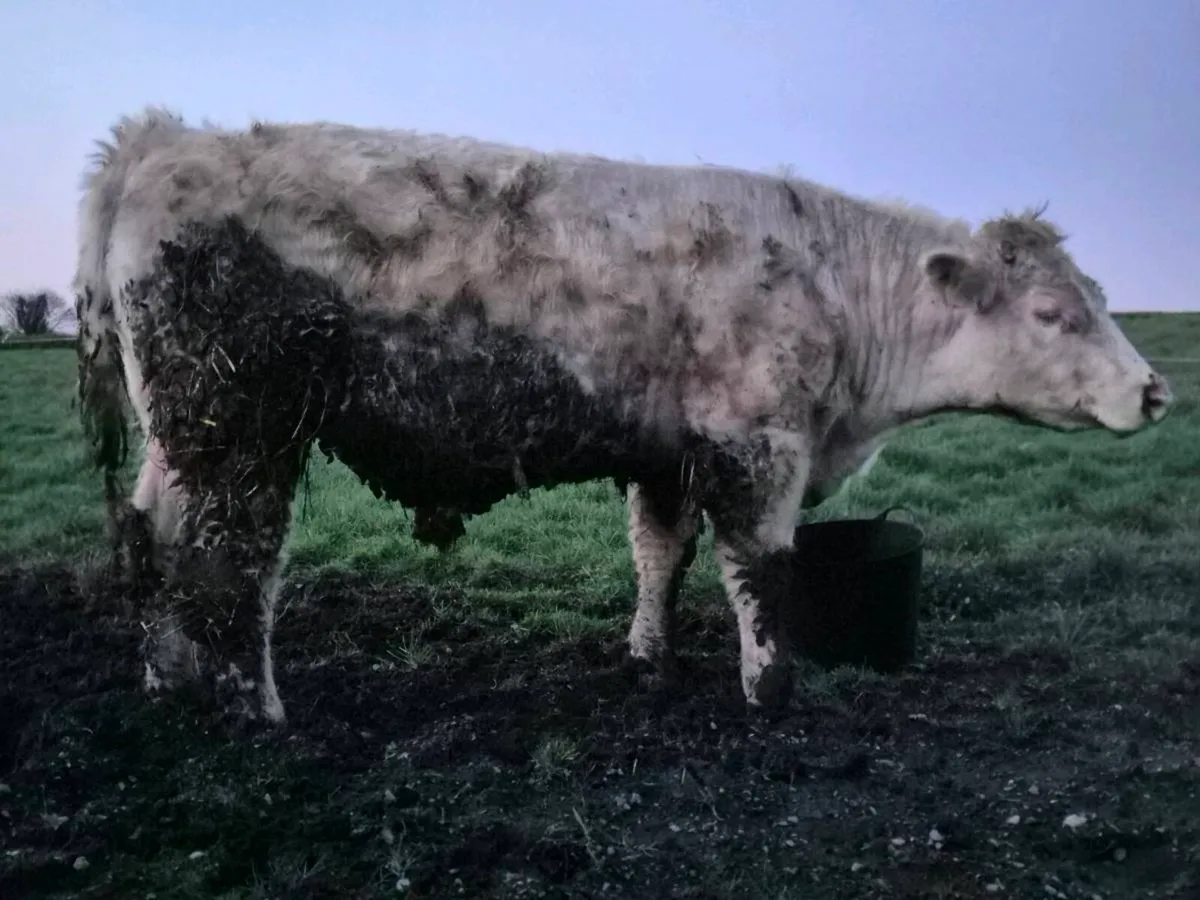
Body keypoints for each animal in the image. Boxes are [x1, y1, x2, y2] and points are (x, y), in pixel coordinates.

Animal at [73, 107, 1173, 726]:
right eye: (1053, 312)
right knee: (236, 563)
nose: (1156, 392)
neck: (829, 280)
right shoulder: (758, 443)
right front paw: (770, 692)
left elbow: (660, 554)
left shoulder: (667, 452)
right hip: (244, 430)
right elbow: (761, 572)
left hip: (183, 436)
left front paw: (649, 657)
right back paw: (254, 708)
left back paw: (167, 680)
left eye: (1097, 295)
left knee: (152, 539)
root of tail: (163, 138)